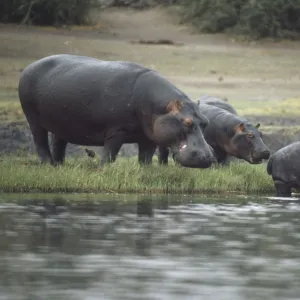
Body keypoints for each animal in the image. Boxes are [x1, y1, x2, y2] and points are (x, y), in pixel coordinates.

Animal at [18, 54, 213, 169]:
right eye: (187, 122)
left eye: (205, 122)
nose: (207, 157)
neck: (160, 106)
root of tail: (30, 66)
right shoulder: (117, 131)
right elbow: (110, 154)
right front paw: (103, 169)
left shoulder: (149, 136)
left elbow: (146, 157)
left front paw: (146, 171)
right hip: (33, 119)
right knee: (40, 141)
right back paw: (48, 165)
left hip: (61, 124)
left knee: (59, 142)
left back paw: (60, 165)